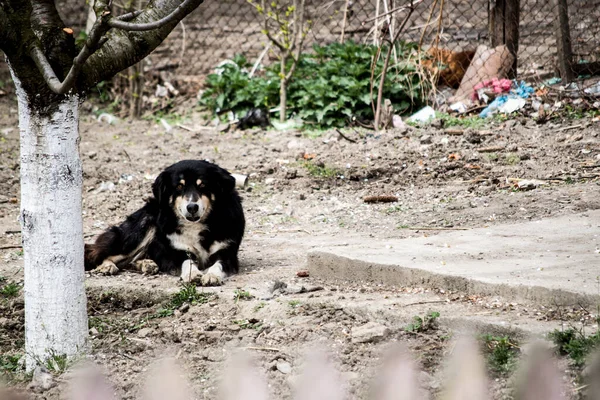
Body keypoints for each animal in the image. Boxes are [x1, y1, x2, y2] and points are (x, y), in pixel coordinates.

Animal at [83, 159, 245, 284]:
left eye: (203, 185)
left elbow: (218, 265)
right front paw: (192, 274)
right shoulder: (179, 252)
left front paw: (211, 275)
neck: (197, 225)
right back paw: (107, 266)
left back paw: (147, 264)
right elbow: (188, 262)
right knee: (100, 253)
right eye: (179, 186)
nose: (192, 207)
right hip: (142, 229)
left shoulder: (227, 253)